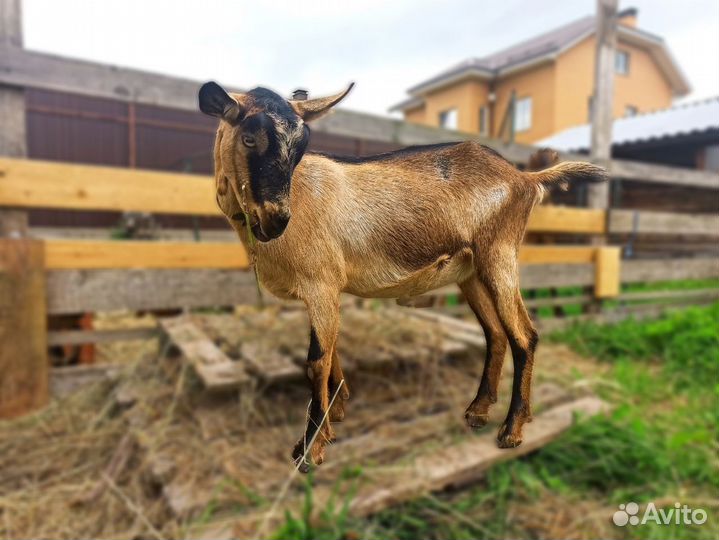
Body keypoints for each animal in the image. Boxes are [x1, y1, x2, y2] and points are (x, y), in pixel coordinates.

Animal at [198, 81, 608, 472]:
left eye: (301, 146)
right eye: (249, 138)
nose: (276, 219)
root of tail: (524, 177)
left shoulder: (320, 284)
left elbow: (316, 361)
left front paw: (310, 450)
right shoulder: (325, 290)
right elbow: (331, 351)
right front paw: (336, 416)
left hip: (500, 254)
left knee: (524, 335)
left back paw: (511, 430)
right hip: (471, 271)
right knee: (494, 333)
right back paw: (477, 411)